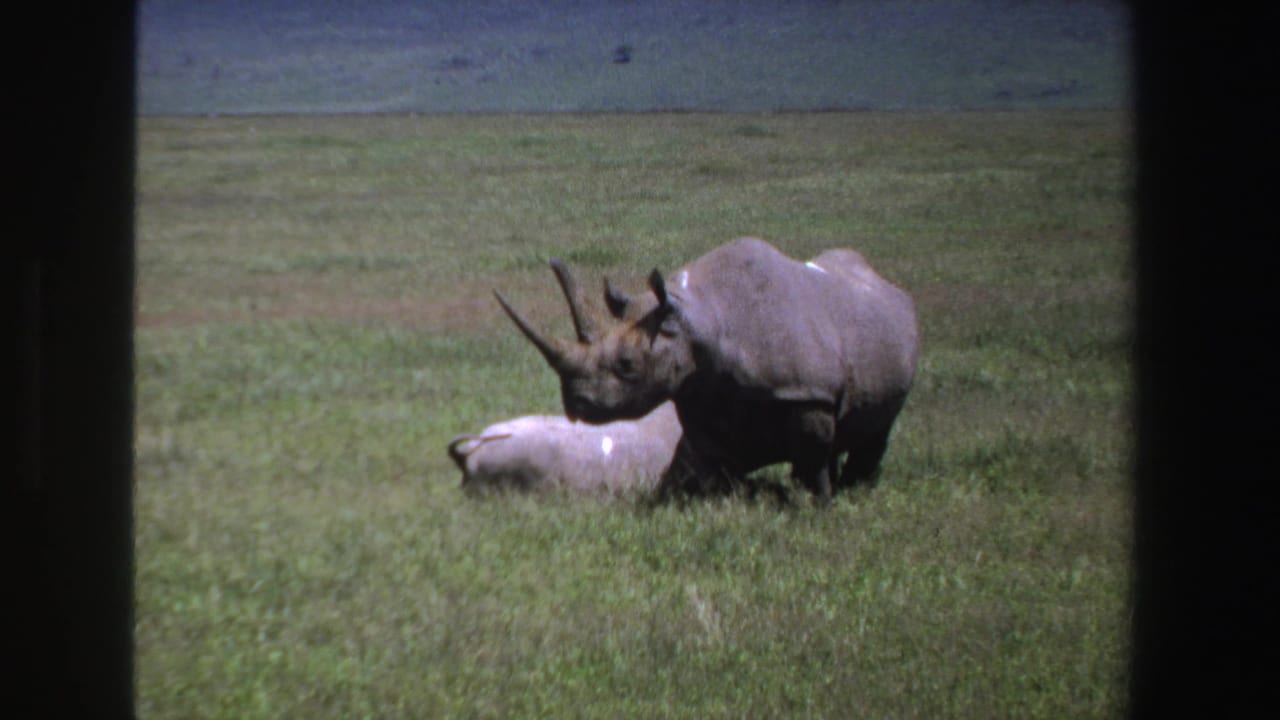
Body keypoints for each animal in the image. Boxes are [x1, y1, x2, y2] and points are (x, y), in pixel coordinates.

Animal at [495, 237, 919, 500]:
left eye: (628, 366)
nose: (576, 405)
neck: (699, 321)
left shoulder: (807, 394)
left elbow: (811, 461)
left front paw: (818, 506)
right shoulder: (701, 393)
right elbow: (696, 463)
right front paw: (697, 501)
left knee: (876, 429)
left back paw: (856, 490)